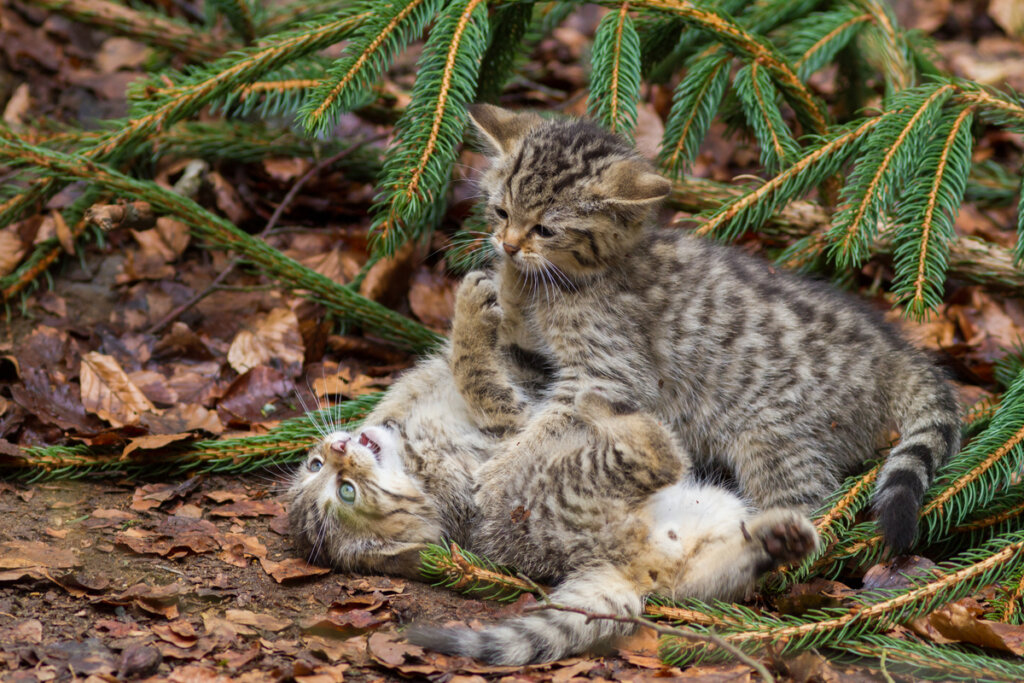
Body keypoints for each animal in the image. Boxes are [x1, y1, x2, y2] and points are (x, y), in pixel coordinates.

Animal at [464, 104, 958, 552]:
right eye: (501, 212)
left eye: (545, 229)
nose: (509, 245)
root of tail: (893, 349)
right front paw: (500, 286)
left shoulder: (608, 370)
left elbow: (551, 423)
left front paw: (502, 471)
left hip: (775, 437)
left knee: (812, 510)